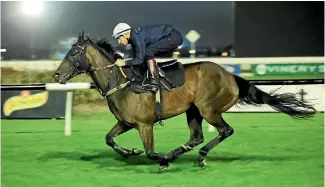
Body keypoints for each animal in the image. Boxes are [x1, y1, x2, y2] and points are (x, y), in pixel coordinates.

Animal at [52, 32, 314, 169]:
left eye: (73, 53)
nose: (55, 75)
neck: (122, 82)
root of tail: (230, 76)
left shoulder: (144, 124)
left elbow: (150, 152)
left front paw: (158, 157)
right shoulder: (126, 123)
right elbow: (109, 139)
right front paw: (130, 151)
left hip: (209, 109)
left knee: (225, 131)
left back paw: (196, 157)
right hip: (193, 111)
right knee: (196, 137)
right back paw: (183, 154)